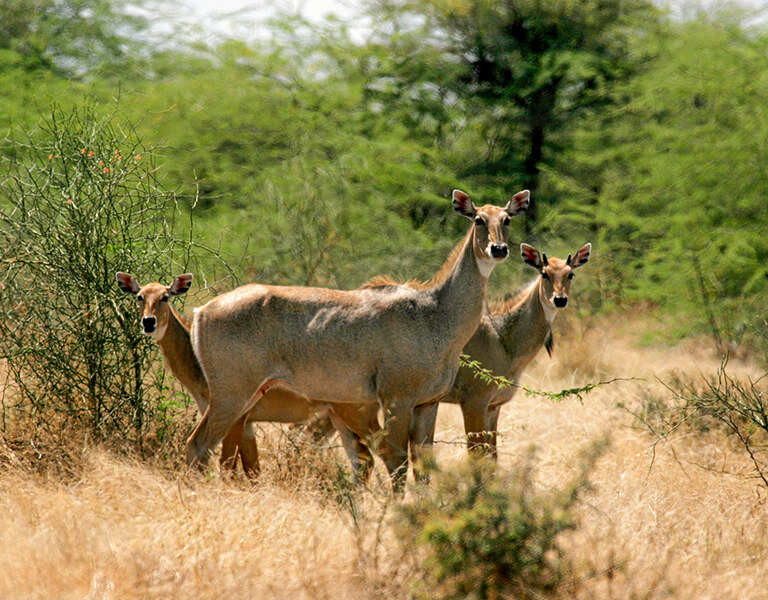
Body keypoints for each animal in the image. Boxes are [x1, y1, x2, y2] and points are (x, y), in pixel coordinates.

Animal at [115, 272, 376, 478]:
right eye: (139, 296)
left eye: (165, 296)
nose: (149, 322)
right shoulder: (245, 423)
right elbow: (252, 469)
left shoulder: (238, 417)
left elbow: (230, 465)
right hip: (334, 419)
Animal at [186, 190, 528, 490]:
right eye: (478, 219)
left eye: (507, 218)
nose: (498, 249)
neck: (435, 312)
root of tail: (201, 311)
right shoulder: (396, 399)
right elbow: (398, 461)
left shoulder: (427, 403)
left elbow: (423, 468)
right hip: (231, 393)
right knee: (198, 444)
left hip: (246, 396)